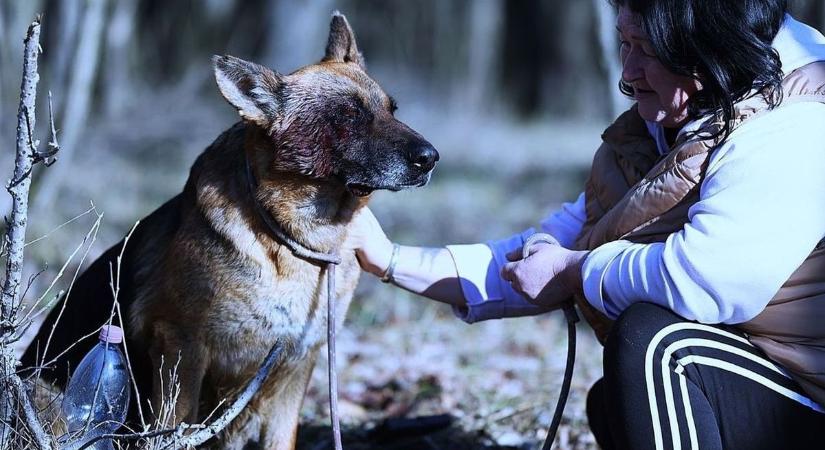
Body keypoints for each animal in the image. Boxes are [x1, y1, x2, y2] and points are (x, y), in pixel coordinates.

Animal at [20, 12, 438, 448]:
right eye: (349, 116)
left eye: (392, 110)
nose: (431, 158)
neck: (293, 239)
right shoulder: (181, 351)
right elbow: (174, 428)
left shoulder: (296, 367)